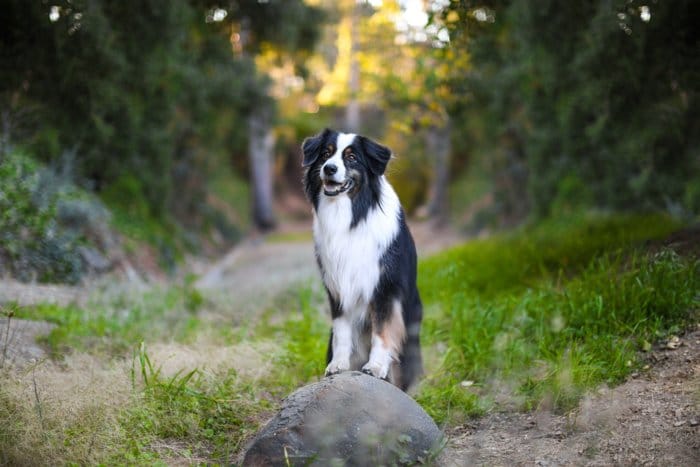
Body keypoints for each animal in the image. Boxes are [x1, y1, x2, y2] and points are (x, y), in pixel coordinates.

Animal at [300, 128, 422, 392]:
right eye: (325, 154)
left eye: (352, 158)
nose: (329, 168)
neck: (350, 215)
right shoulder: (337, 288)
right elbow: (342, 331)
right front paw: (338, 365)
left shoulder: (385, 288)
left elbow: (382, 332)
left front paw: (375, 367)